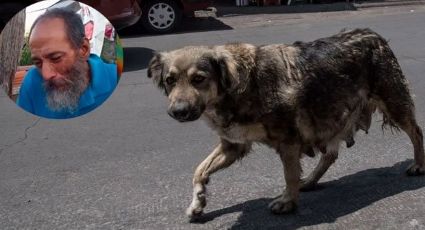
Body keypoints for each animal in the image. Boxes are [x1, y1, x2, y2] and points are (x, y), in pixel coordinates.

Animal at [147, 28, 424, 219]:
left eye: (199, 79)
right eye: (170, 80)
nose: (178, 112)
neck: (237, 86)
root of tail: (373, 35)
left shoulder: (288, 140)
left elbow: (289, 174)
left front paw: (288, 201)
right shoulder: (232, 145)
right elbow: (199, 170)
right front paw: (198, 201)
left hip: (393, 103)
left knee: (416, 132)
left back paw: (418, 165)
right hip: (329, 115)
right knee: (330, 154)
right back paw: (310, 181)